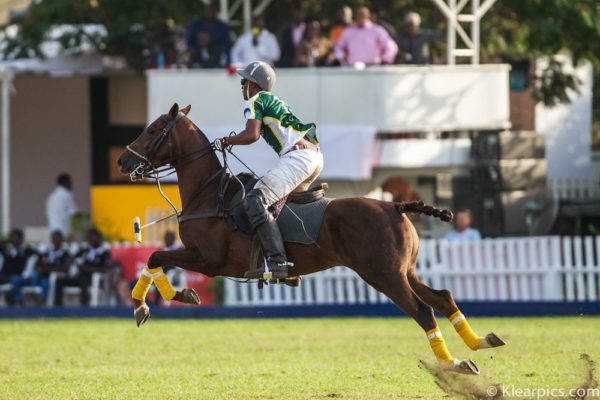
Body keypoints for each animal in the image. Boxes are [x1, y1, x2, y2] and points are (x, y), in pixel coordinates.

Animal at [116, 103, 502, 376]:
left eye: (153, 129)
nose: (121, 161)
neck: (209, 193)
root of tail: (396, 205)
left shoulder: (208, 259)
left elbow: (155, 258)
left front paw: (149, 304)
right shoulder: (204, 258)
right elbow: (155, 260)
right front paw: (162, 299)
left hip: (383, 275)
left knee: (423, 310)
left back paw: (453, 365)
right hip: (404, 271)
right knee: (443, 296)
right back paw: (479, 343)